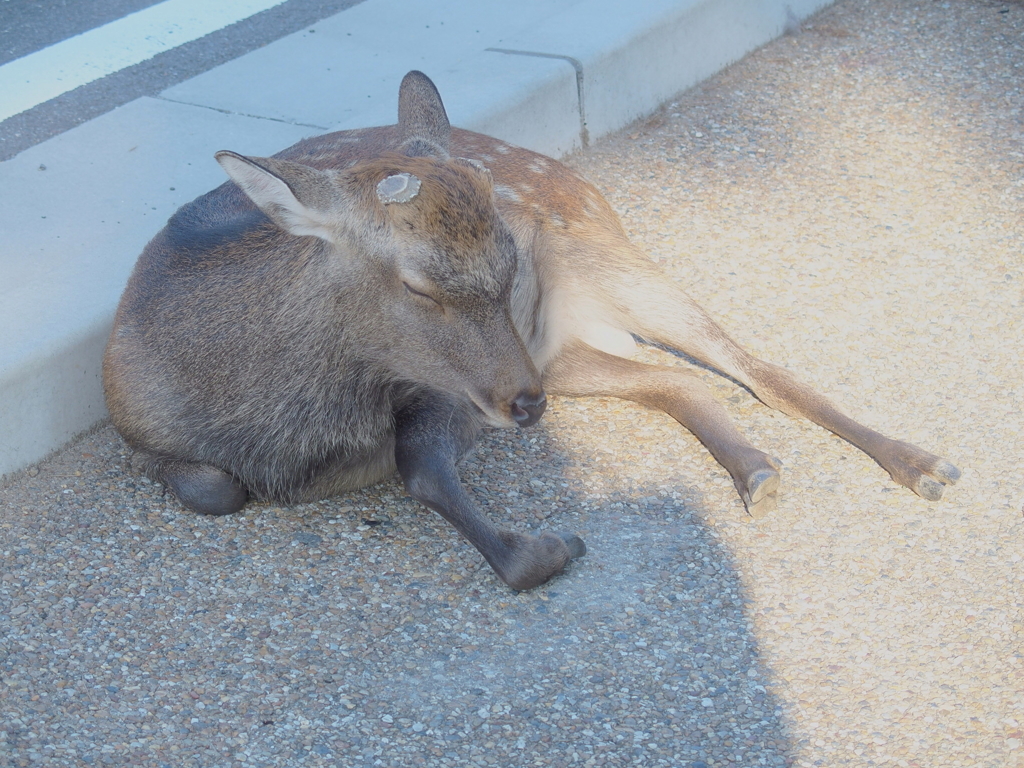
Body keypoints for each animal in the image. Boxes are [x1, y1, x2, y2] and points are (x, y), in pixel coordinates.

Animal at [99, 70, 954, 589]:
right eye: (417, 283)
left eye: (510, 264)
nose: (524, 406)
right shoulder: (139, 430)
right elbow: (212, 487)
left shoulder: (440, 389)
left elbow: (417, 467)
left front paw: (543, 548)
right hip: (562, 350)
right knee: (672, 376)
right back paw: (757, 471)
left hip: (603, 258)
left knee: (756, 368)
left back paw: (921, 464)